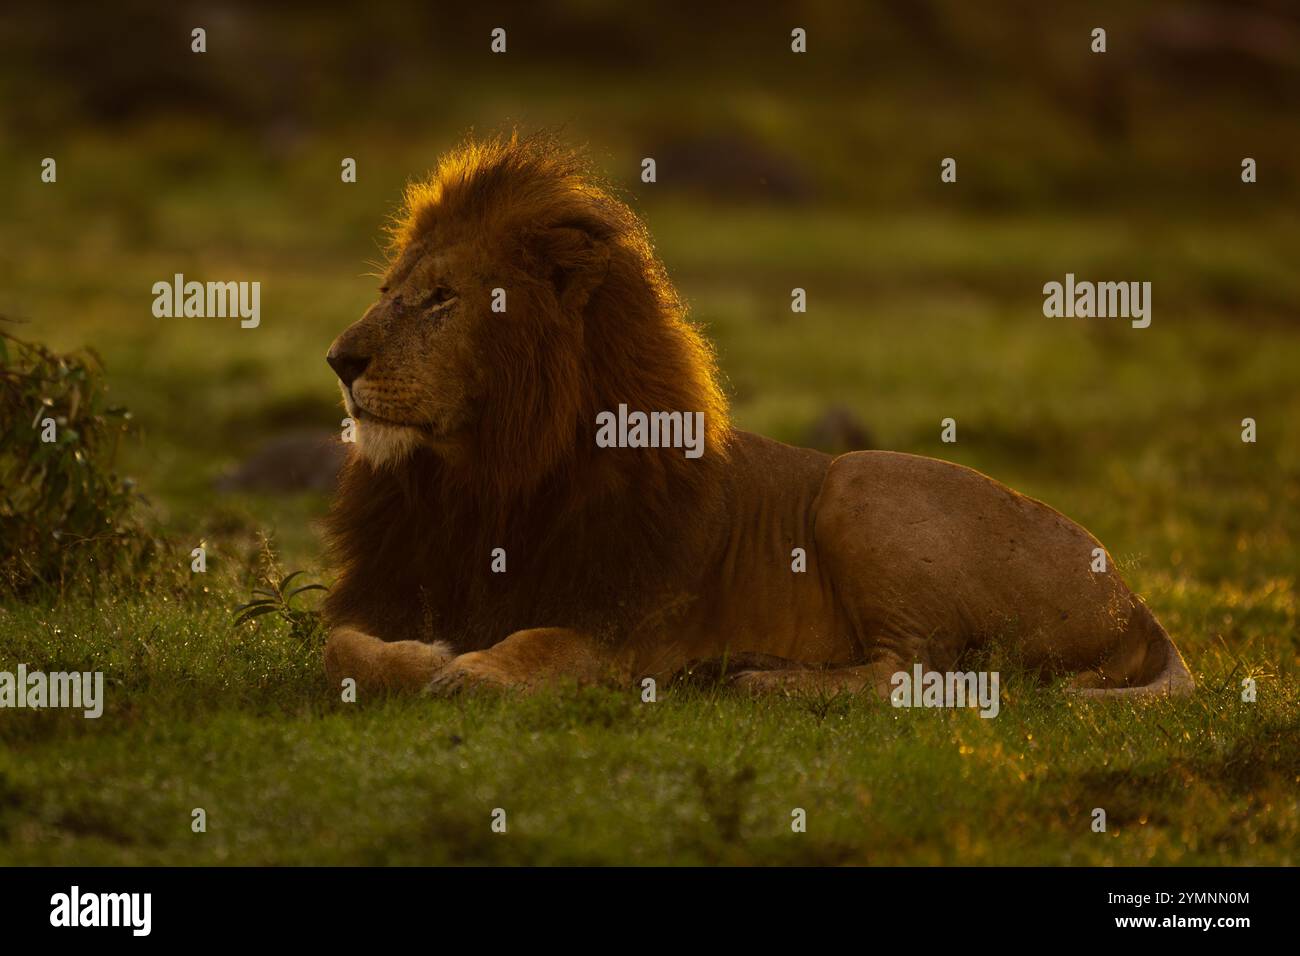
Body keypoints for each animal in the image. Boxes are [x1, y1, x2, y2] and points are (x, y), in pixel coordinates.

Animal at [322, 132, 1193, 700]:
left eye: (441, 297)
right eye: (387, 290)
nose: (339, 360)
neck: (484, 478)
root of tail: (1138, 604)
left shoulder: (626, 628)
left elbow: (544, 640)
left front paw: (470, 670)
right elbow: (340, 647)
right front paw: (425, 655)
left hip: (859, 482)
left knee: (922, 674)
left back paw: (761, 682)